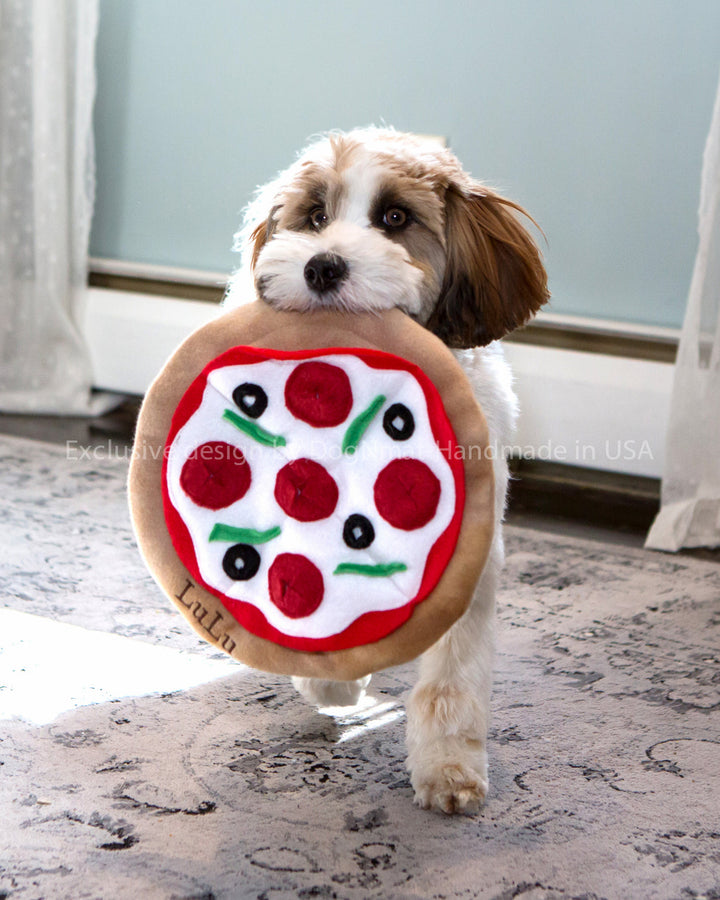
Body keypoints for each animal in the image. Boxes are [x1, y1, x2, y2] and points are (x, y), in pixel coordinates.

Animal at [222, 128, 548, 816]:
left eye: (395, 218)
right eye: (315, 216)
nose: (322, 266)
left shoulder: (470, 554)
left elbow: (452, 677)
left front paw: (448, 765)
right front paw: (332, 684)